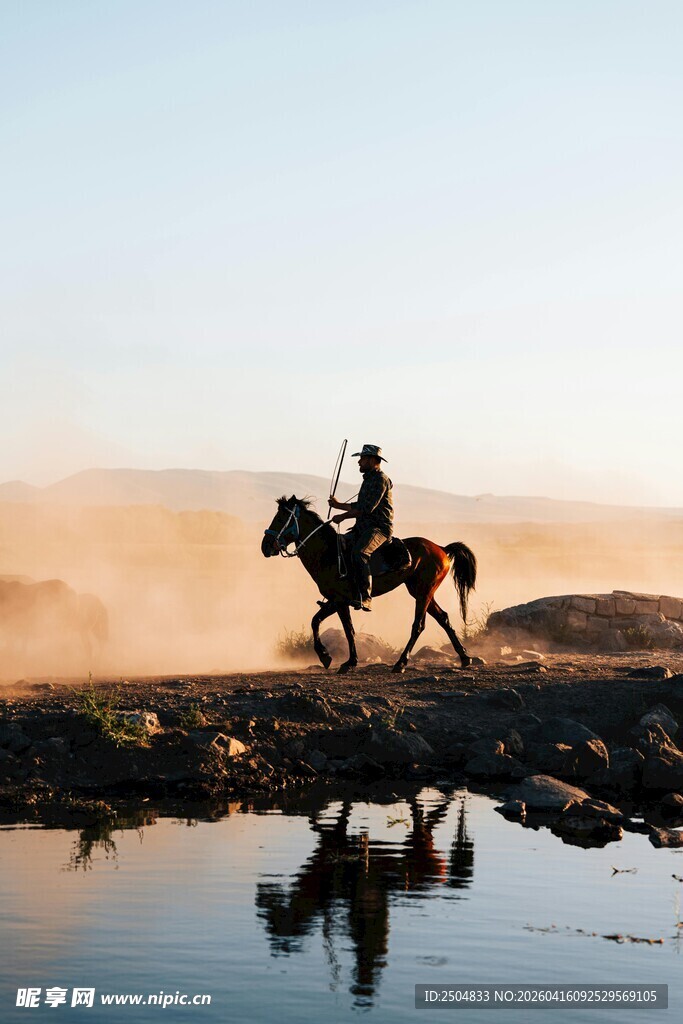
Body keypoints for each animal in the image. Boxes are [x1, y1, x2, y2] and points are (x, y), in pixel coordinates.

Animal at [261, 495, 477, 673]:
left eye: (280, 518)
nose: (265, 546)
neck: (328, 554)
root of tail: (441, 548)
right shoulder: (333, 600)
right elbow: (316, 621)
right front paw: (325, 657)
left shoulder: (341, 601)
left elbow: (348, 630)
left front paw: (348, 662)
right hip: (422, 591)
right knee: (443, 618)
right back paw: (465, 657)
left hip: (423, 592)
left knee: (418, 625)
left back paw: (401, 663)